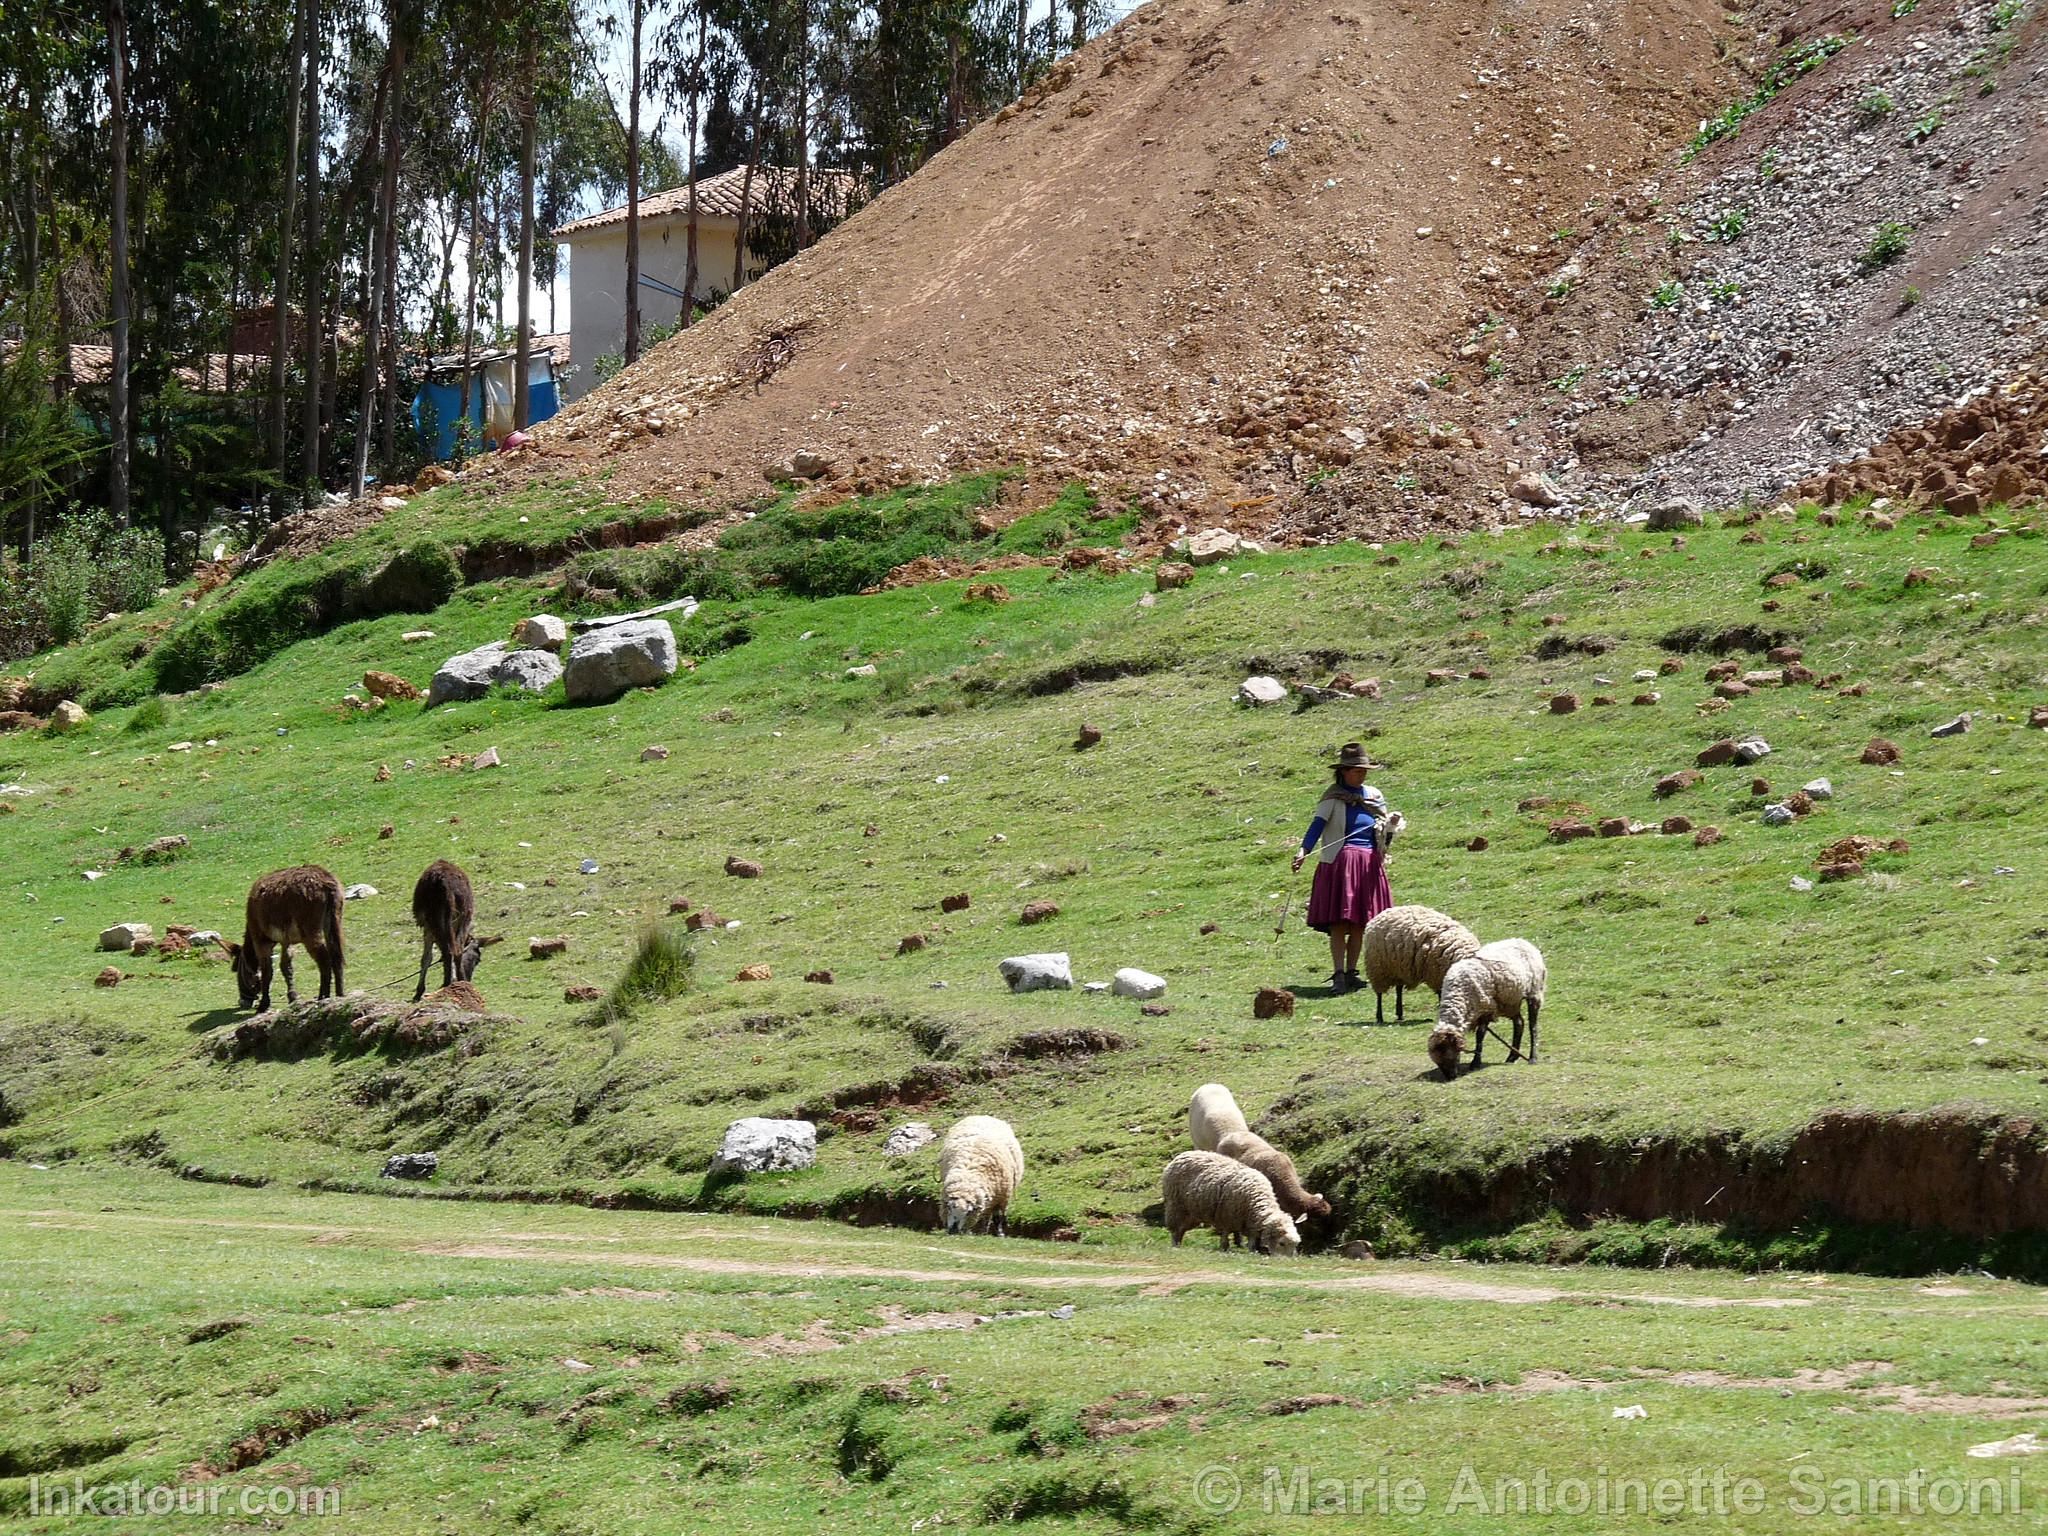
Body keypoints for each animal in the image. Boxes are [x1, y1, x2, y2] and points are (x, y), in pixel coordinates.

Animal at [223, 868, 344, 1011]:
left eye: (236, 970)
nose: (242, 1002)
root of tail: (326, 880)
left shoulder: (260, 940)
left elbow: (267, 971)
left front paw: (264, 1004)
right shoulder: (286, 941)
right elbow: (286, 967)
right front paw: (293, 997)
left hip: (310, 931)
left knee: (325, 961)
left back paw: (322, 997)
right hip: (334, 922)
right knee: (337, 958)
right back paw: (340, 996)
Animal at [411, 860, 483, 1003]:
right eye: (477, 960)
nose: (469, 979)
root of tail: (446, 884)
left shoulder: (427, 926)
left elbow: (427, 957)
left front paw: (419, 991)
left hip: (435, 918)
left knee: (447, 951)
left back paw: (446, 984)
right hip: (463, 915)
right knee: (456, 950)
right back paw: (458, 982)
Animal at [1163, 1155, 1302, 1261]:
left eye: (1295, 1245)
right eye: (1281, 1243)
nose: (1285, 1261)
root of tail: (1180, 1156)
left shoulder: (1249, 1223)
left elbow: (1251, 1239)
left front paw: (1252, 1251)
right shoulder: (1226, 1216)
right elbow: (1225, 1234)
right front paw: (1224, 1248)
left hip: (1192, 1214)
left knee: (1181, 1230)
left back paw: (1179, 1244)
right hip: (1175, 1206)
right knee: (1175, 1229)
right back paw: (1175, 1245)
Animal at [1433, 933, 1540, 1073]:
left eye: (1449, 1055)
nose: (1450, 1076)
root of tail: (1523, 941)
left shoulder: (1486, 1008)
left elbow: (1480, 1035)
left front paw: (1475, 1062)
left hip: (1535, 992)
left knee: (1533, 1026)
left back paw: (1533, 1058)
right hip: (1511, 1000)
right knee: (1519, 1023)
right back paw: (1512, 1057)